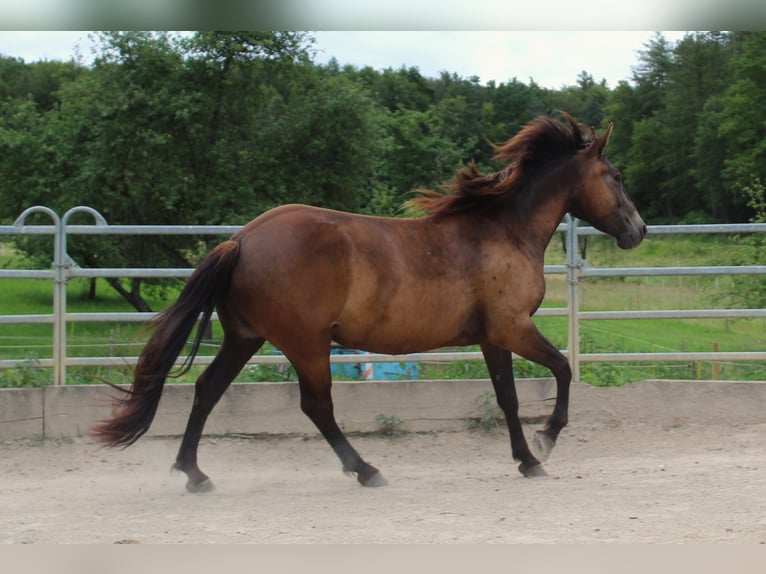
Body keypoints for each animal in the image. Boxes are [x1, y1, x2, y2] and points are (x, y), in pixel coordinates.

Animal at [90, 115, 648, 492]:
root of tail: (242, 239)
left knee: (207, 390)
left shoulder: (493, 338)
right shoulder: (513, 328)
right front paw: (547, 441)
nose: (639, 231)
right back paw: (367, 470)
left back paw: (194, 474)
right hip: (307, 344)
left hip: (245, 338)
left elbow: (507, 398)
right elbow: (563, 369)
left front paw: (527, 460)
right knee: (316, 406)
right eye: (617, 175)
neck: (503, 231)